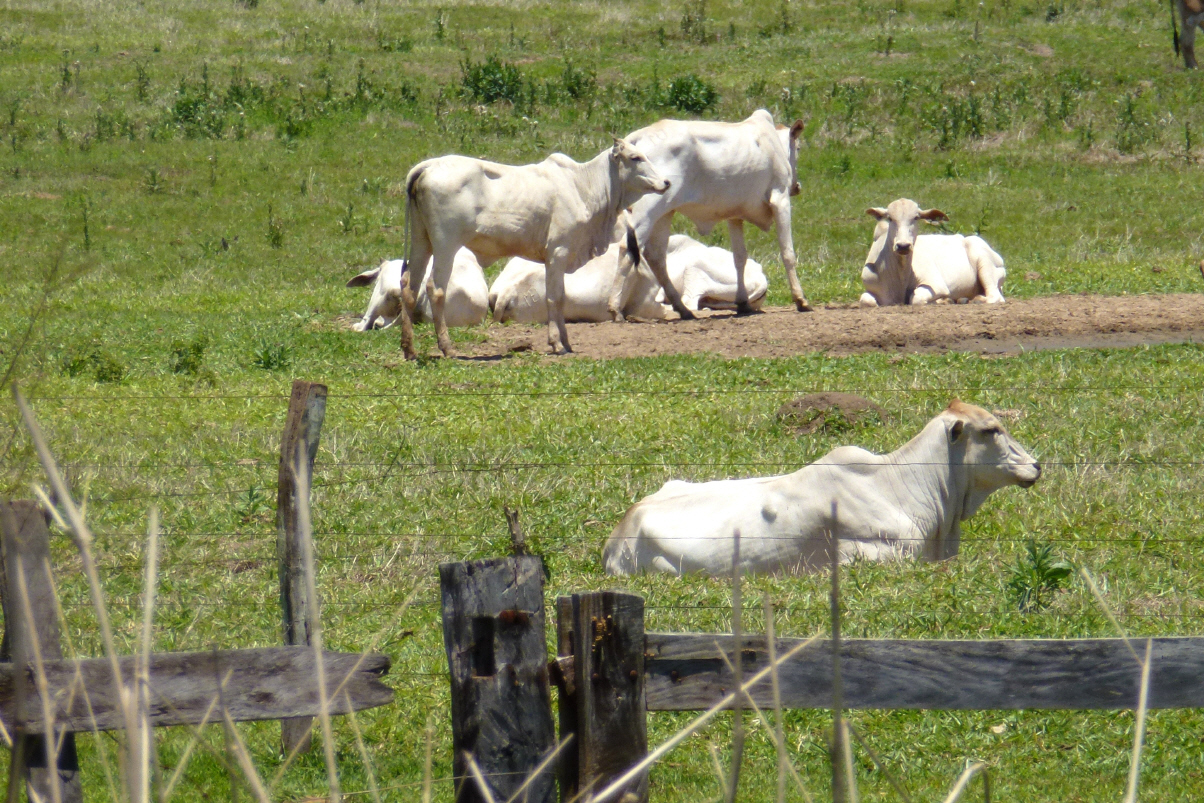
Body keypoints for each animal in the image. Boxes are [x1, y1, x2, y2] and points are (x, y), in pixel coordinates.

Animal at [396, 138, 669, 358]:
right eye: (635, 157)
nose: (666, 182)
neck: (583, 186)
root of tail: (429, 165)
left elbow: (560, 297)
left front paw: (565, 342)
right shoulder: (557, 252)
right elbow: (554, 297)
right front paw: (557, 343)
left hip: (422, 240)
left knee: (409, 286)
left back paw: (410, 350)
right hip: (445, 243)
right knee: (435, 288)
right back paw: (447, 347)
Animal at [608, 109, 808, 321]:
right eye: (798, 147)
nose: (796, 186)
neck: (773, 145)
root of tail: (637, 138)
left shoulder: (734, 215)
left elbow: (739, 258)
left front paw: (743, 302)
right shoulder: (780, 199)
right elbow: (788, 253)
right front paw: (800, 299)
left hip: (664, 213)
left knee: (656, 257)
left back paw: (682, 309)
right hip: (646, 211)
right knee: (627, 248)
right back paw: (615, 307)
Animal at [859, 198, 1006, 307]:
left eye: (916, 218)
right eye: (890, 218)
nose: (903, 246)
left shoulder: (936, 284)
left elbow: (916, 298)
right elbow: (865, 300)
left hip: (984, 262)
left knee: (995, 297)